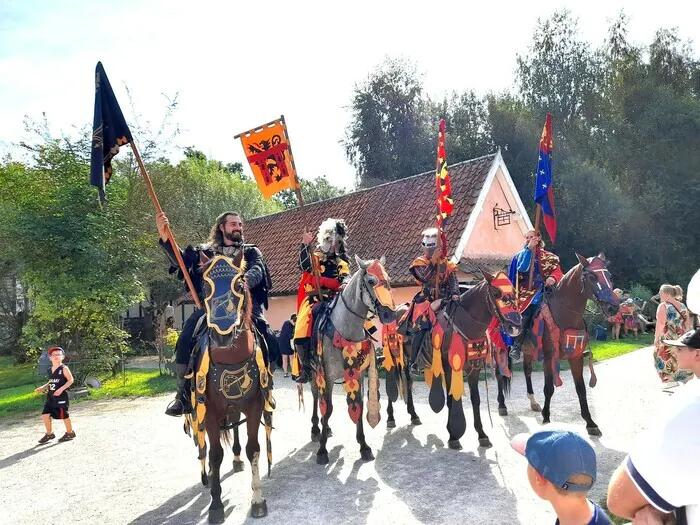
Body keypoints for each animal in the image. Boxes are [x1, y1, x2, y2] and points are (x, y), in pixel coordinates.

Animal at [185, 250, 274, 520]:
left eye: (240, 284)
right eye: (205, 286)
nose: (222, 335)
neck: (231, 358)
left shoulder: (255, 407)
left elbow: (253, 448)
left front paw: (257, 500)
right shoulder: (210, 413)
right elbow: (215, 455)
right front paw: (216, 505)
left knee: (235, 427)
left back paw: (236, 459)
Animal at [308, 254, 396, 462]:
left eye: (388, 279)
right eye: (371, 281)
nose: (390, 315)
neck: (344, 328)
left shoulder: (359, 374)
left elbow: (360, 406)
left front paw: (364, 446)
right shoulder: (327, 375)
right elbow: (328, 408)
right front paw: (322, 450)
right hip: (313, 371)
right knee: (316, 396)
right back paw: (316, 429)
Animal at [386, 272, 524, 448]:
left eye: (514, 291)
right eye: (496, 293)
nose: (515, 326)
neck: (465, 323)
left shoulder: (474, 368)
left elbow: (475, 399)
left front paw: (482, 434)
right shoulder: (448, 367)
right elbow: (451, 399)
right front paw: (453, 435)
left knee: (408, 381)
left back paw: (413, 414)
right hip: (393, 354)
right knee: (391, 382)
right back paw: (390, 417)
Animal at [494, 252, 620, 436]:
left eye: (609, 276)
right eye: (591, 276)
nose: (613, 307)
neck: (565, 314)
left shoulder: (576, 357)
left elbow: (581, 389)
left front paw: (590, 423)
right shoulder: (549, 357)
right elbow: (549, 388)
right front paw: (546, 419)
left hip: (528, 350)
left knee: (527, 371)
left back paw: (533, 402)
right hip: (498, 348)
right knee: (499, 373)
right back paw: (502, 405)